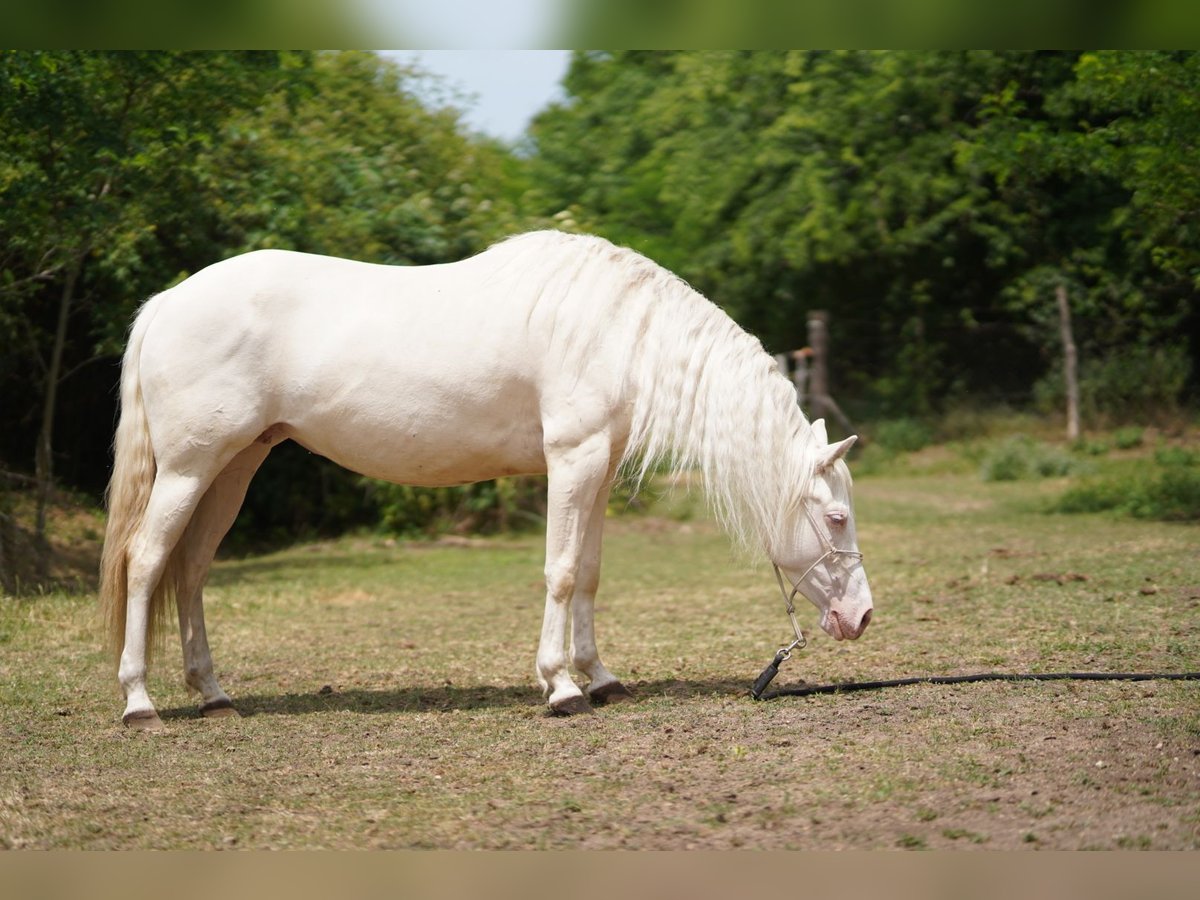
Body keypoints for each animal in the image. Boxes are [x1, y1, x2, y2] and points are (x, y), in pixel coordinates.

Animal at [98, 230, 873, 729]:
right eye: (836, 518)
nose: (863, 617)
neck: (621, 333)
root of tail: (167, 302)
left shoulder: (597, 468)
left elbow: (589, 573)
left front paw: (600, 679)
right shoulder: (573, 459)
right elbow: (561, 571)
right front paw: (560, 687)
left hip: (234, 467)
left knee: (191, 570)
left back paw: (213, 695)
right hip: (190, 469)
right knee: (147, 562)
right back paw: (140, 703)